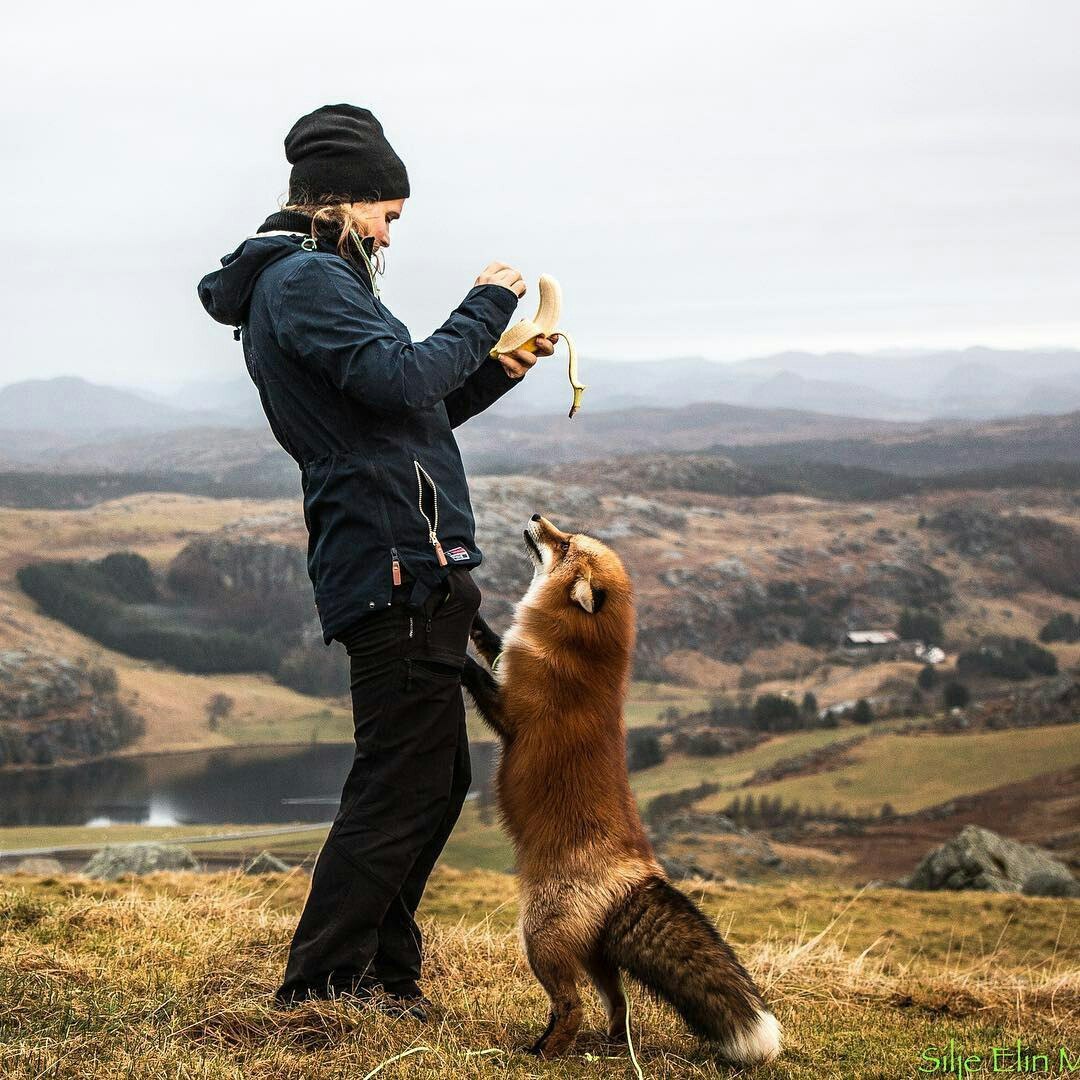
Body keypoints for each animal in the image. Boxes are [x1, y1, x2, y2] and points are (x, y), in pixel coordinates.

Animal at [460, 514, 781, 1062]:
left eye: (565, 543)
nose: (537, 516)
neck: (575, 648)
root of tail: (638, 873)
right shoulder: (506, 665)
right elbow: (489, 640)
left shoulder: (509, 714)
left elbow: (476, 672)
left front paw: (443, 658)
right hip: (593, 958)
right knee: (620, 1000)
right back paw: (610, 1042)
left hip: (538, 938)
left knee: (571, 1006)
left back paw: (547, 1051)